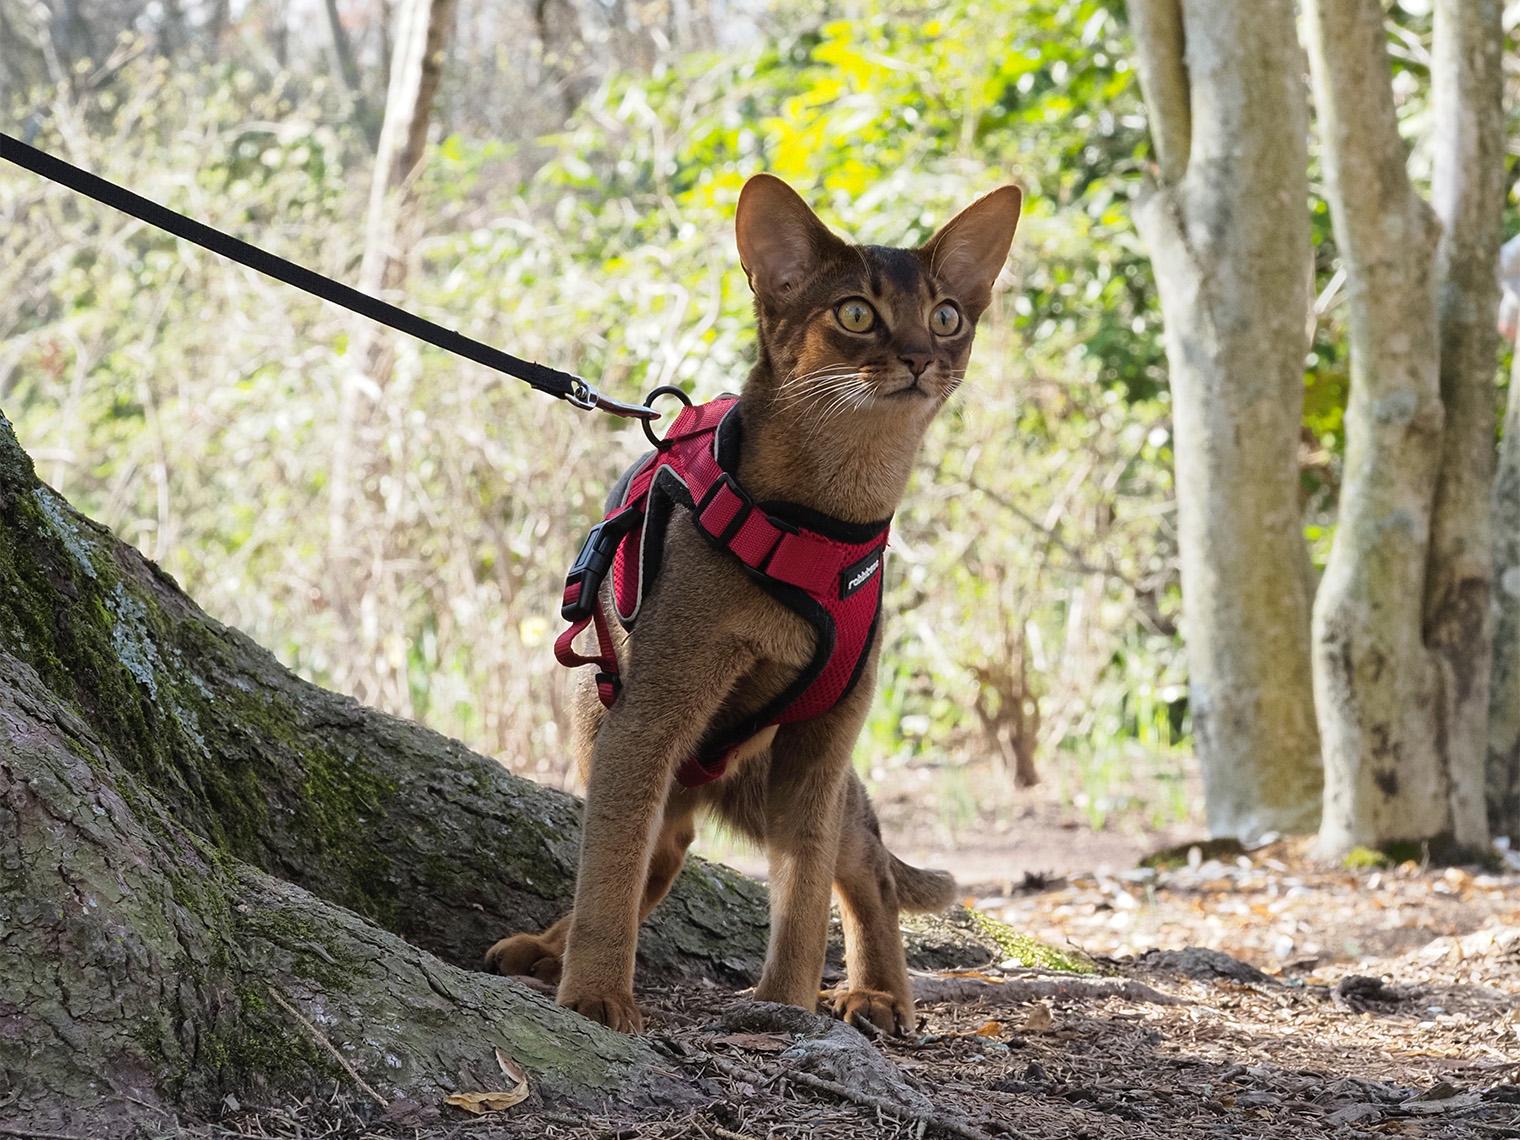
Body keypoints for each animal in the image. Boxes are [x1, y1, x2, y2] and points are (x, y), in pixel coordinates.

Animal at [489, 174, 1021, 1039]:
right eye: (856, 313)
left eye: (946, 315)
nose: (918, 358)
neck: (821, 527)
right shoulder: (647, 717)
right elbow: (610, 866)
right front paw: (597, 995)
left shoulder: (821, 744)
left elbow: (803, 896)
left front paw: (785, 1005)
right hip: (608, 724)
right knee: (652, 852)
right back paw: (551, 947)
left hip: (783, 777)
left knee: (865, 869)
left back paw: (880, 995)